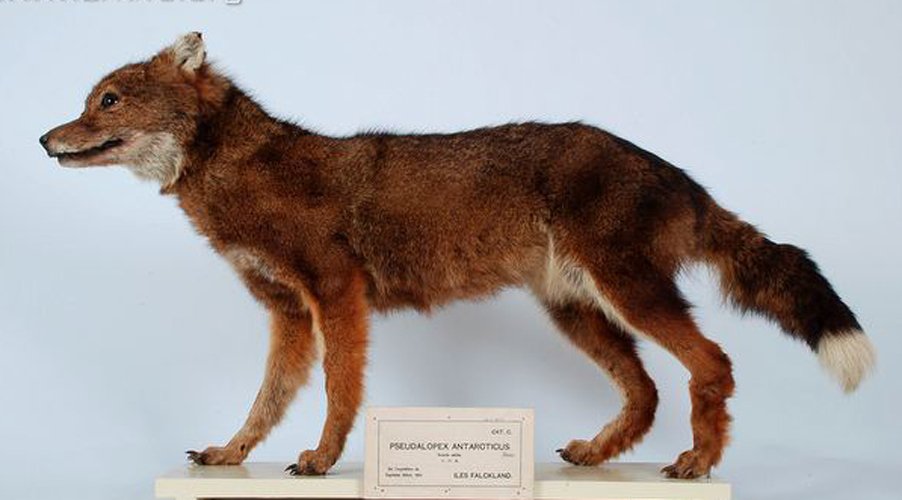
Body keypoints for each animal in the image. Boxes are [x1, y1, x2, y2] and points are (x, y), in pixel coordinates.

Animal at [40, 33, 875, 478]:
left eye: (107, 102)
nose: (44, 138)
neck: (242, 170)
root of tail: (671, 169)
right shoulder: (288, 313)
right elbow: (264, 403)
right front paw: (230, 454)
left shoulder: (335, 294)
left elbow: (339, 395)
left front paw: (322, 459)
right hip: (578, 313)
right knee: (646, 393)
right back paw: (599, 454)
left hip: (627, 296)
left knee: (712, 366)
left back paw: (699, 464)